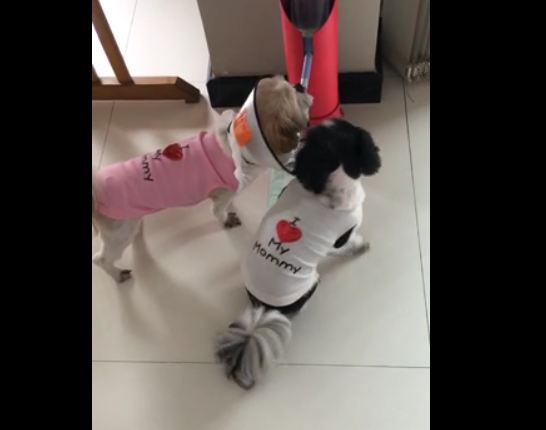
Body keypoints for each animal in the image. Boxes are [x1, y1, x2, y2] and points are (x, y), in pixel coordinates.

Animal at [212, 118, 378, 390]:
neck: (329, 176)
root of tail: (265, 308)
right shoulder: (342, 235)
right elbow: (349, 243)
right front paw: (360, 246)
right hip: (312, 282)